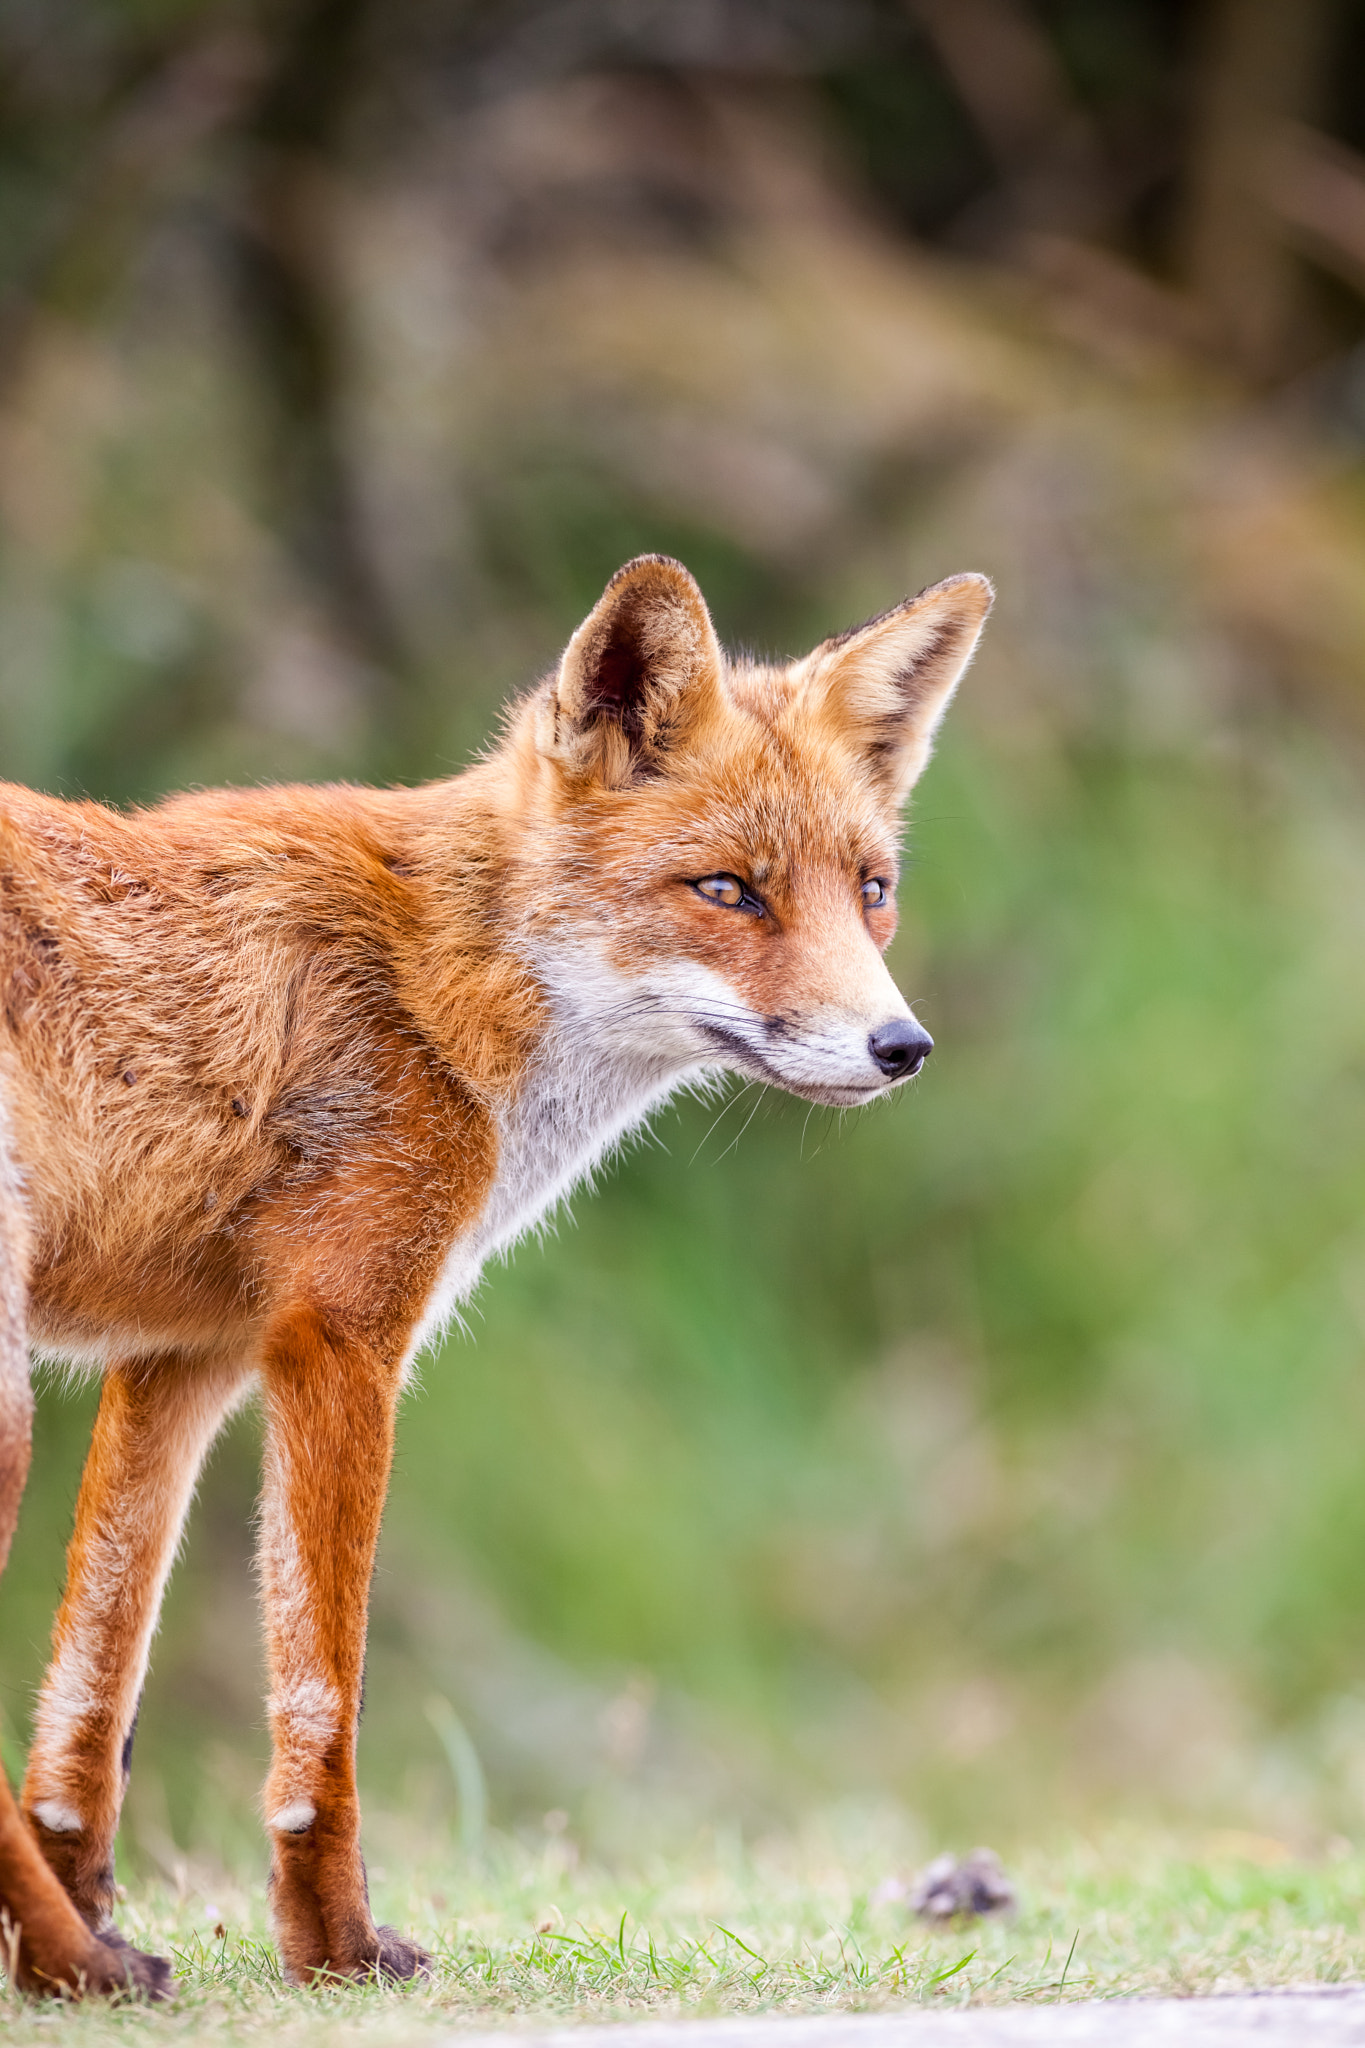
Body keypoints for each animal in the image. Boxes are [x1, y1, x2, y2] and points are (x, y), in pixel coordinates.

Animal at [0, 552, 986, 1990]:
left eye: (870, 888)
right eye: (727, 891)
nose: (899, 1045)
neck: (435, 987)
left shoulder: (182, 1358)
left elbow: (92, 1691)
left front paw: (81, 1927)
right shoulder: (342, 1337)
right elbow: (323, 1703)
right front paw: (331, 1947)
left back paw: (76, 1957)